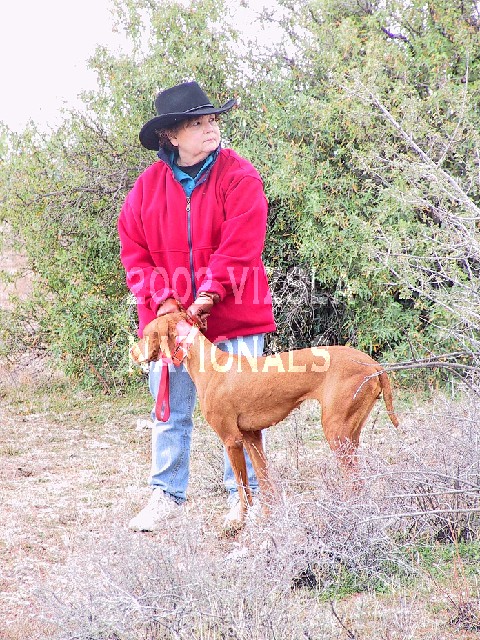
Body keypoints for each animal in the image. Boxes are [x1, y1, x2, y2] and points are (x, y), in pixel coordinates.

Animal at [131, 310, 399, 529]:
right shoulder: (252, 437)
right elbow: (264, 480)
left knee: (354, 481)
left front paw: (240, 521)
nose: (132, 352)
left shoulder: (232, 440)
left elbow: (243, 489)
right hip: (350, 435)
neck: (210, 365)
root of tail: (374, 365)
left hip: (336, 433)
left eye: (146, 334)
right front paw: (269, 518)